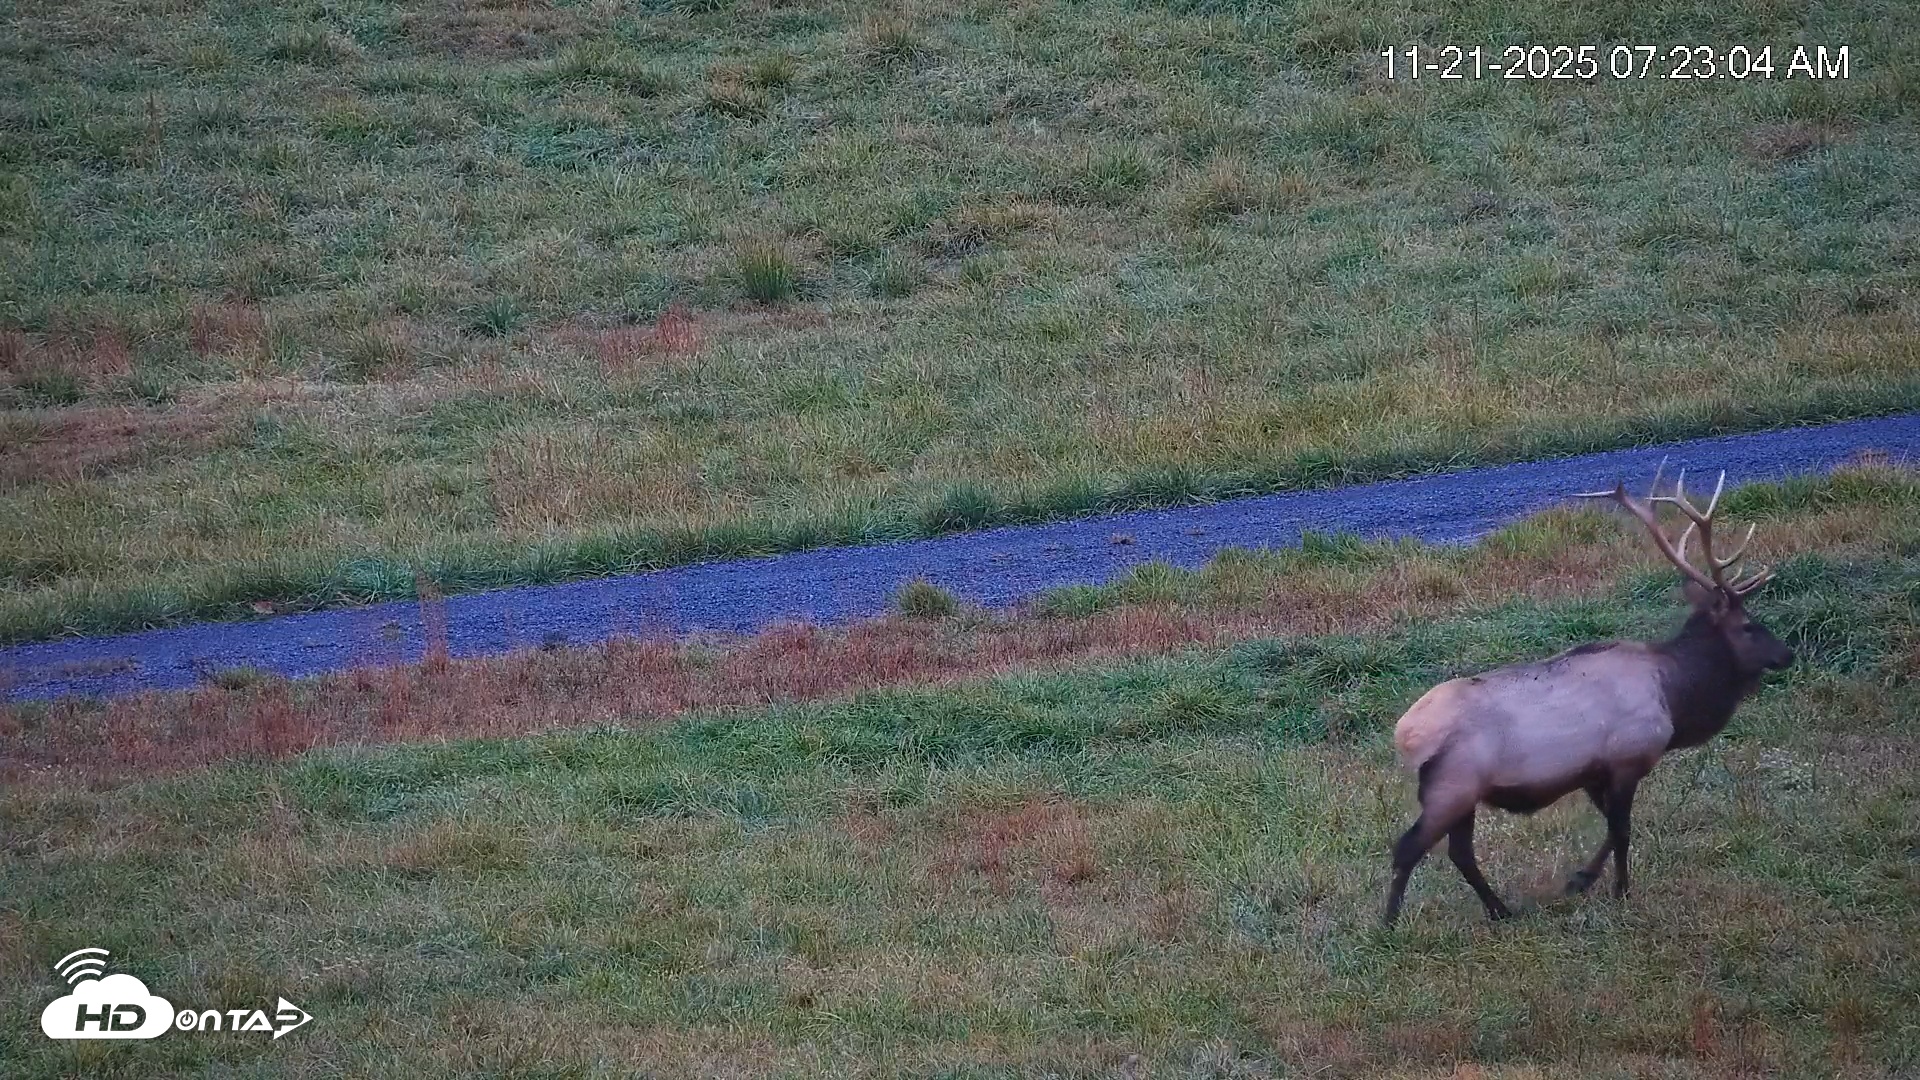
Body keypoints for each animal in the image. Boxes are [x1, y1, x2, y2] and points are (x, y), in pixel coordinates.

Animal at [1381, 463, 1796, 927]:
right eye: (1748, 626)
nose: (1788, 653)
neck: (1674, 697)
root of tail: (1406, 735)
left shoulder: (1596, 772)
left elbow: (1613, 829)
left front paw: (1581, 880)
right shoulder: (1629, 758)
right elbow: (1622, 829)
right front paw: (1618, 889)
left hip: (1461, 794)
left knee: (1459, 852)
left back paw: (1500, 911)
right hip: (1452, 786)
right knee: (1410, 847)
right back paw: (1391, 923)